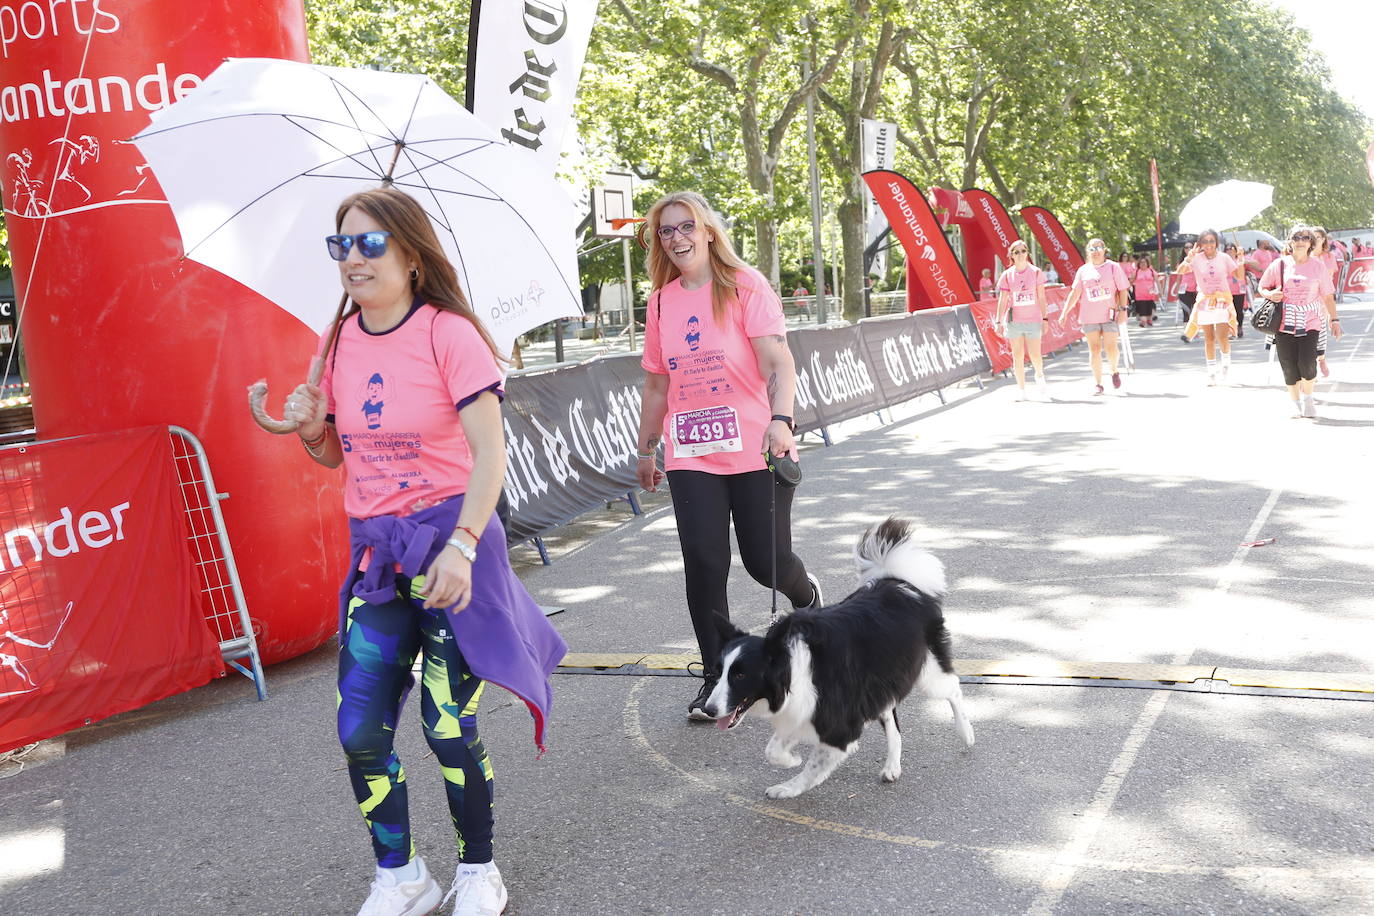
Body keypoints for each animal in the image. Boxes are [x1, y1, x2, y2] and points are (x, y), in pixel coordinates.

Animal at [703, 519, 972, 796]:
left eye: (740, 675)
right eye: (717, 673)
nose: (708, 709)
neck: (791, 669)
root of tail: (897, 582)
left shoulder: (839, 726)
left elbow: (812, 765)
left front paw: (789, 785)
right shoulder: (806, 707)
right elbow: (774, 748)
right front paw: (790, 760)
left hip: (928, 673)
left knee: (953, 688)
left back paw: (966, 733)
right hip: (881, 682)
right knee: (892, 719)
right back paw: (892, 767)